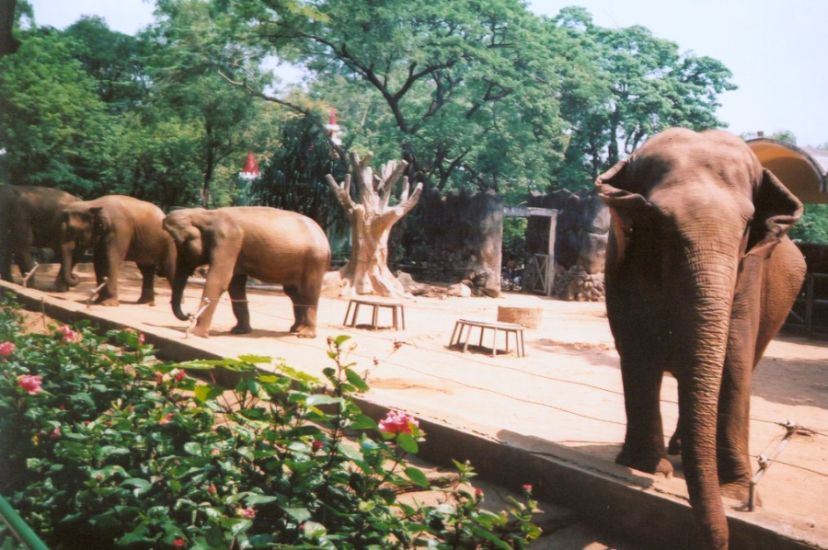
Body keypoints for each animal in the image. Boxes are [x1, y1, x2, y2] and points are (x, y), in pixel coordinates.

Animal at [162, 207, 330, 338]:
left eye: (181, 245)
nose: (189, 314)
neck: (206, 214)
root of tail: (324, 237)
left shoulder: (227, 240)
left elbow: (219, 280)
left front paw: (197, 334)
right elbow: (235, 285)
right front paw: (239, 331)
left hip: (315, 260)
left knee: (309, 292)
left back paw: (305, 334)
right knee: (293, 292)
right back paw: (295, 329)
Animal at [600, 128, 804, 548]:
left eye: (747, 225)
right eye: (657, 221)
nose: (722, 543)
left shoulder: (750, 271)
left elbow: (734, 359)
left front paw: (734, 491)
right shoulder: (621, 258)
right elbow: (637, 347)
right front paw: (648, 468)